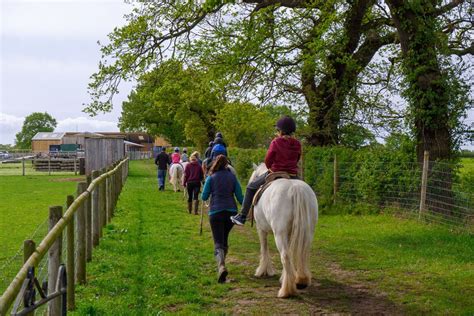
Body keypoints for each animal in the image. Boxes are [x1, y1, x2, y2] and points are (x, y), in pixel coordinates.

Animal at [252, 164, 318, 298]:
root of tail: (295, 188)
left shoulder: (261, 229)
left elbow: (264, 248)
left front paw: (263, 270)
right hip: (308, 232)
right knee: (303, 253)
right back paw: (301, 280)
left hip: (279, 234)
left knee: (285, 255)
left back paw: (287, 291)